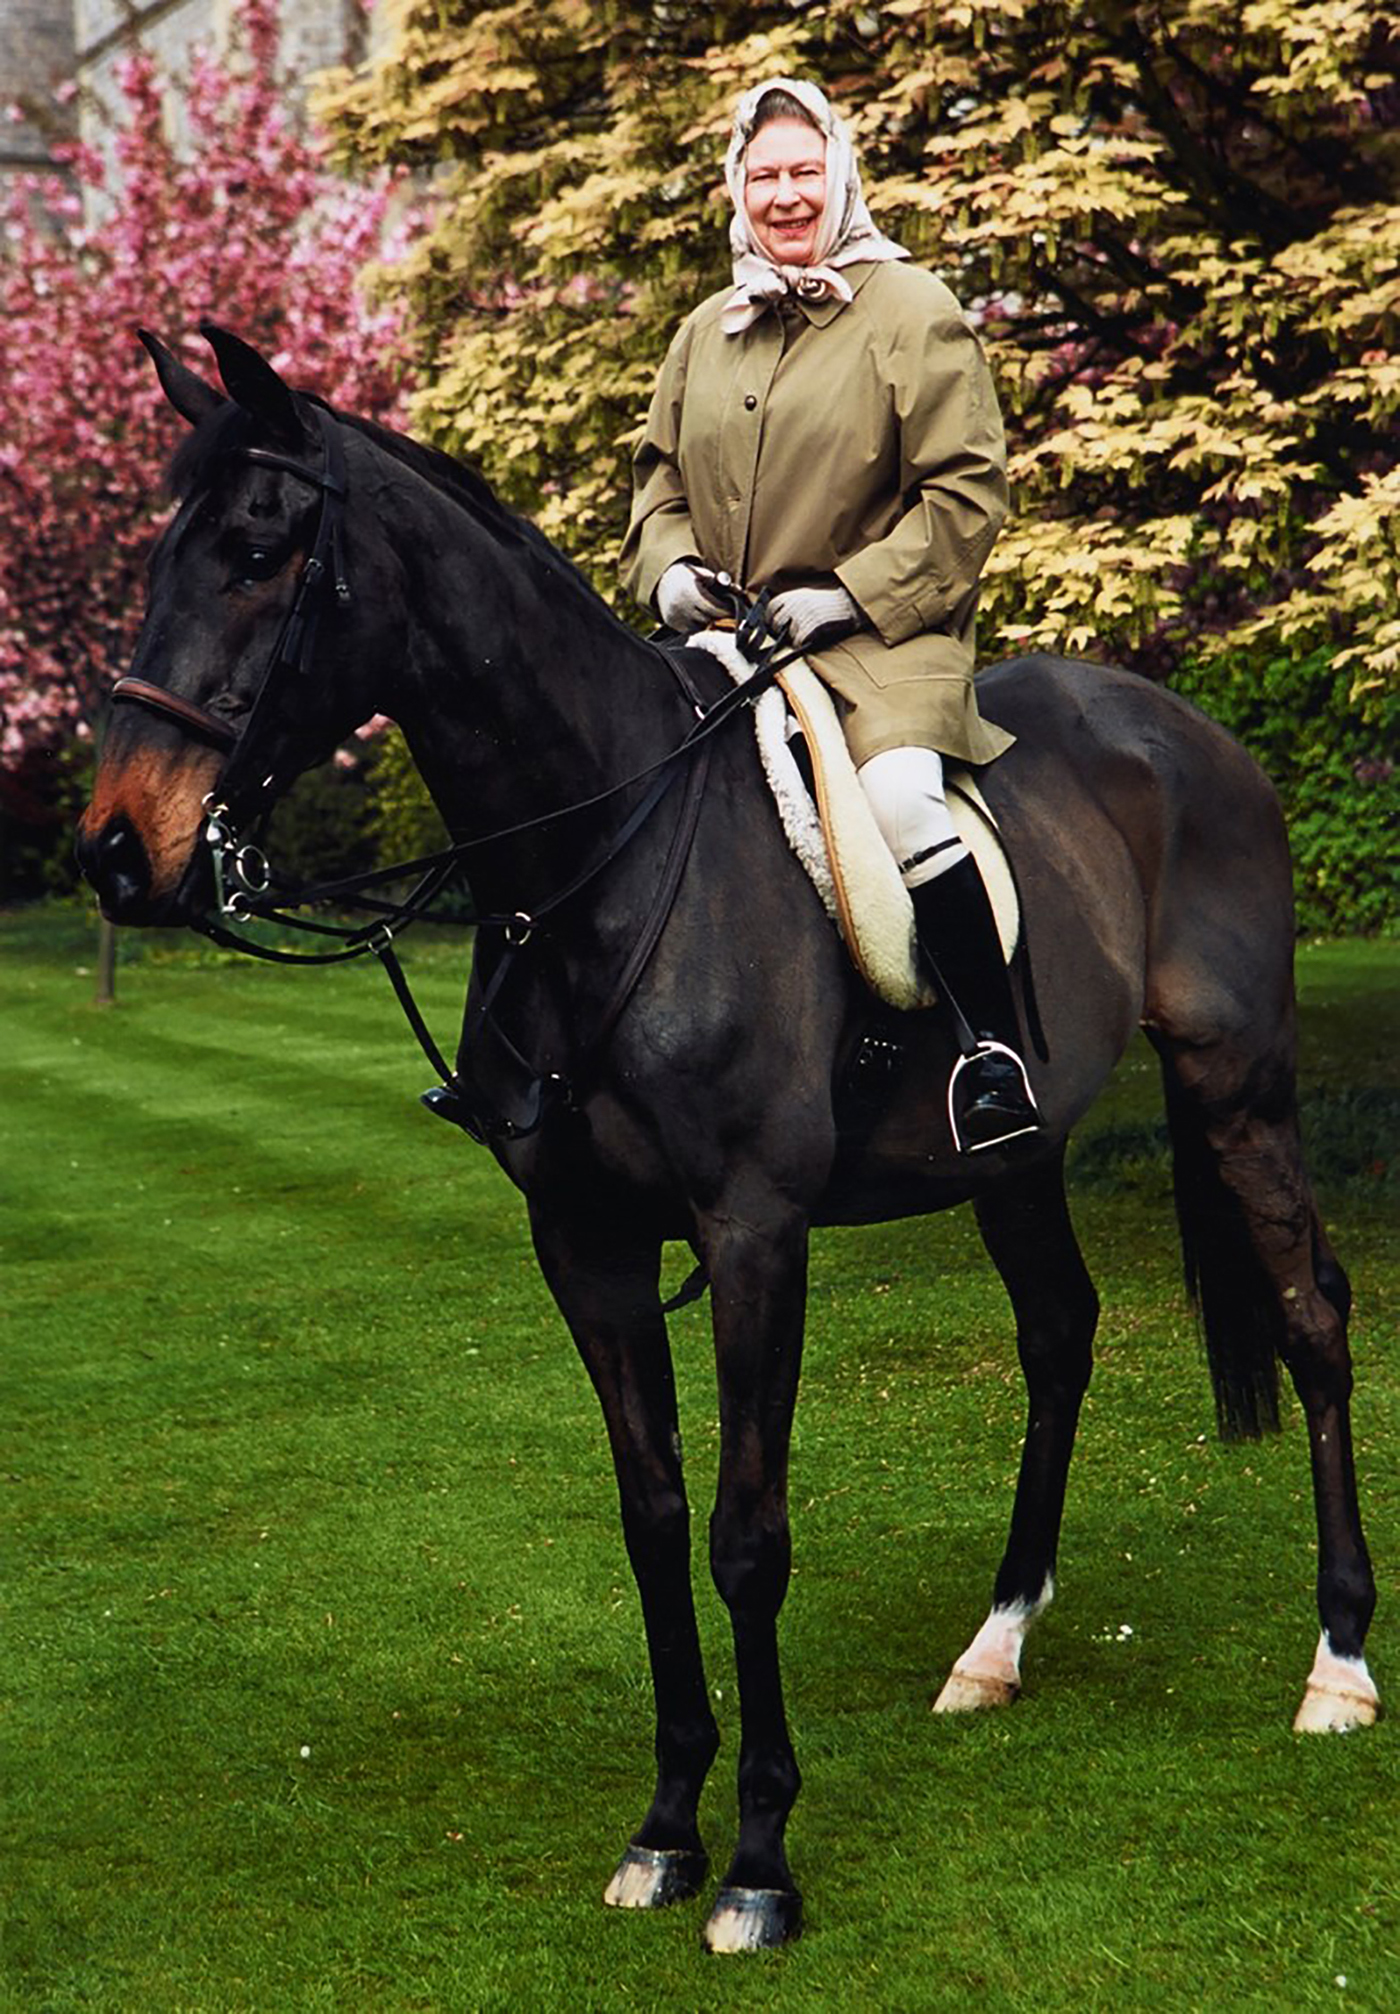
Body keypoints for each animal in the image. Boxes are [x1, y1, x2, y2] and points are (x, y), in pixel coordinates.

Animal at [77, 325, 1378, 1954]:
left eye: (258, 550)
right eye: (155, 554)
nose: (116, 848)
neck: (597, 864)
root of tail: (1188, 730)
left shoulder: (755, 1235)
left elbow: (746, 1534)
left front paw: (760, 1858)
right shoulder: (584, 1246)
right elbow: (651, 1517)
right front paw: (664, 1828)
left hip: (1236, 1085)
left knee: (1312, 1315)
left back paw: (1337, 1663)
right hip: (1008, 1152)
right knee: (1060, 1332)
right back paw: (997, 1643)